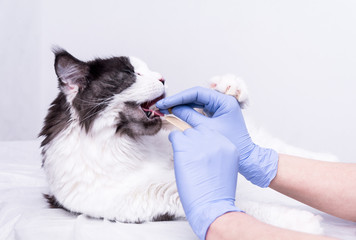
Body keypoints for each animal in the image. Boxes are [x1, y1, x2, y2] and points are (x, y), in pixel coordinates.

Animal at [39, 48, 336, 234]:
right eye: (130, 74)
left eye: (148, 71)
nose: (163, 78)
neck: (126, 146)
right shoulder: (152, 199)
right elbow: (239, 207)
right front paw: (301, 222)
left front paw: (228, 88)